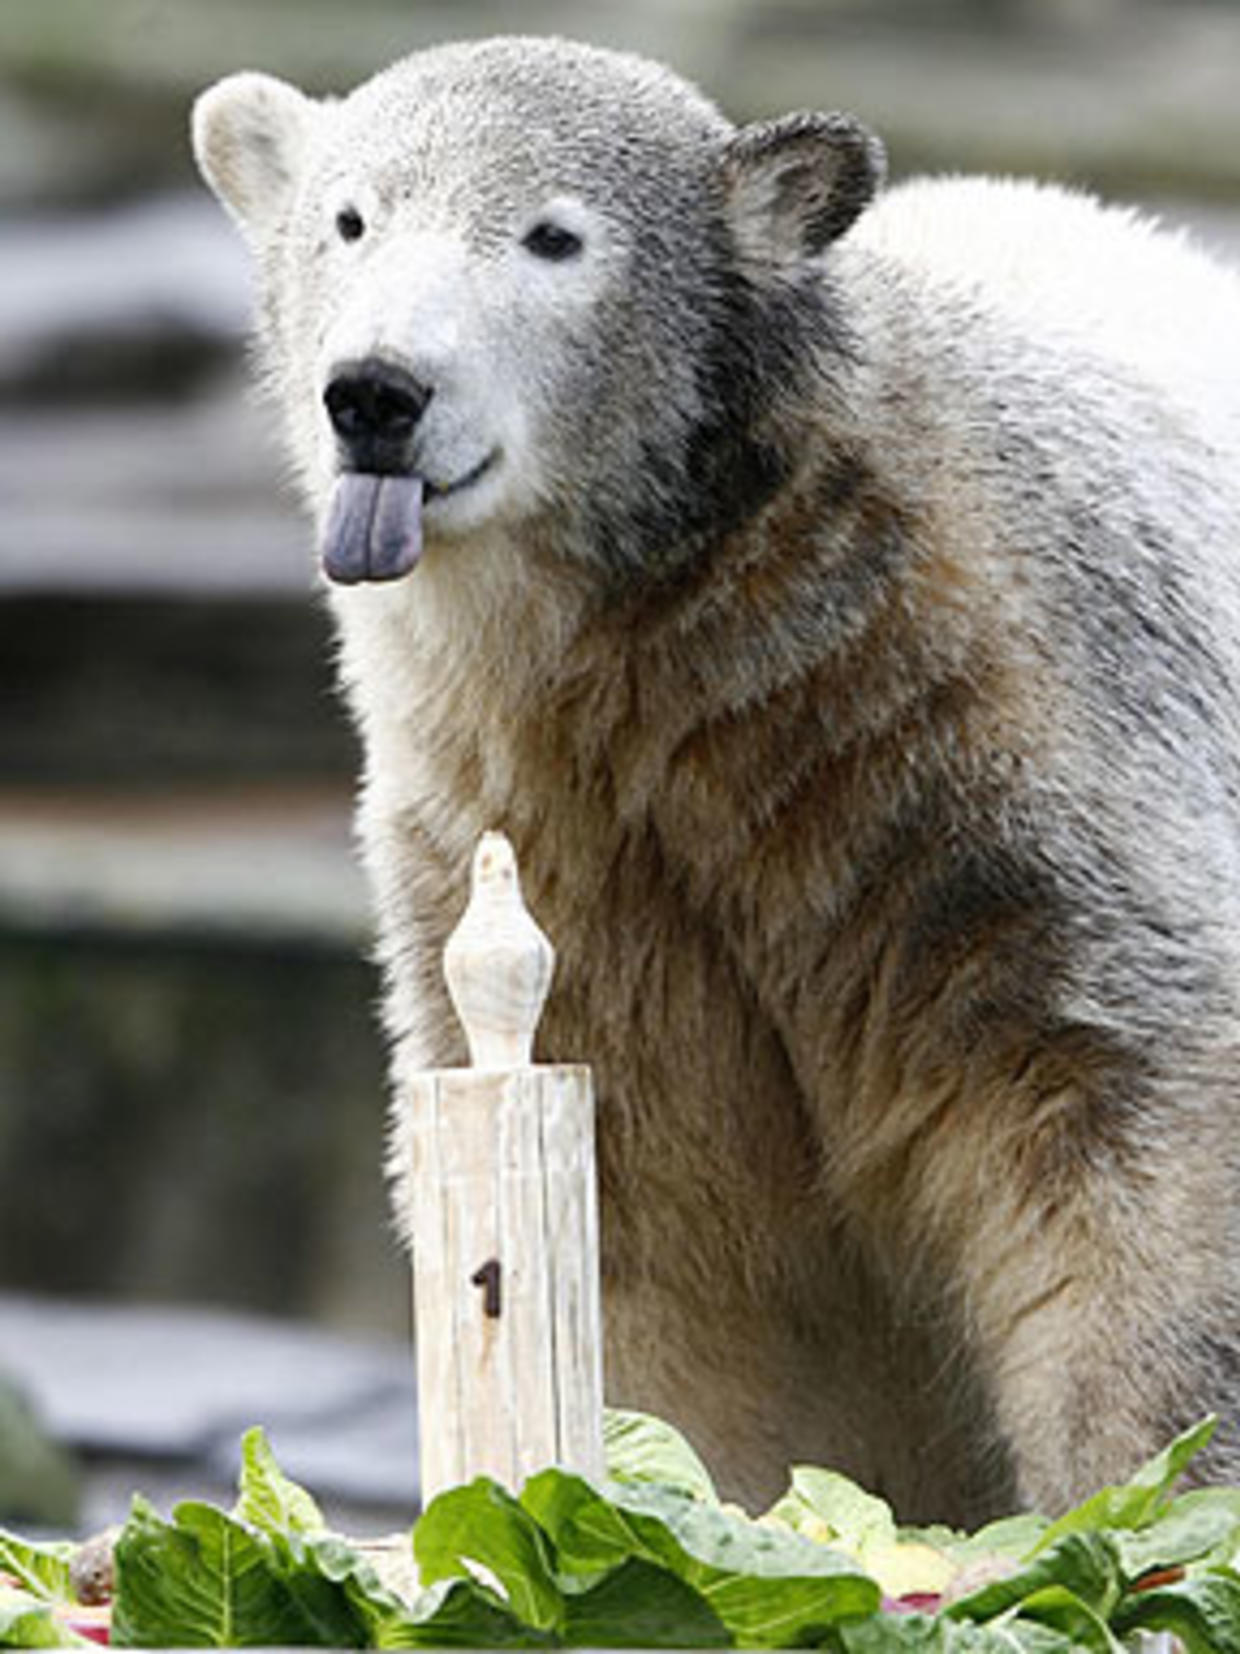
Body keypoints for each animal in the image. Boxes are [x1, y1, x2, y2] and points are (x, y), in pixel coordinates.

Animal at [196, 32, 1240, 1521]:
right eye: (350, 220)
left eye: (554, 235)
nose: (377, 393)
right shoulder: (553, 838)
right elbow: (660, 1231)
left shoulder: (982, 752)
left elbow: (1109, 1095)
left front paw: (1142, 1504)